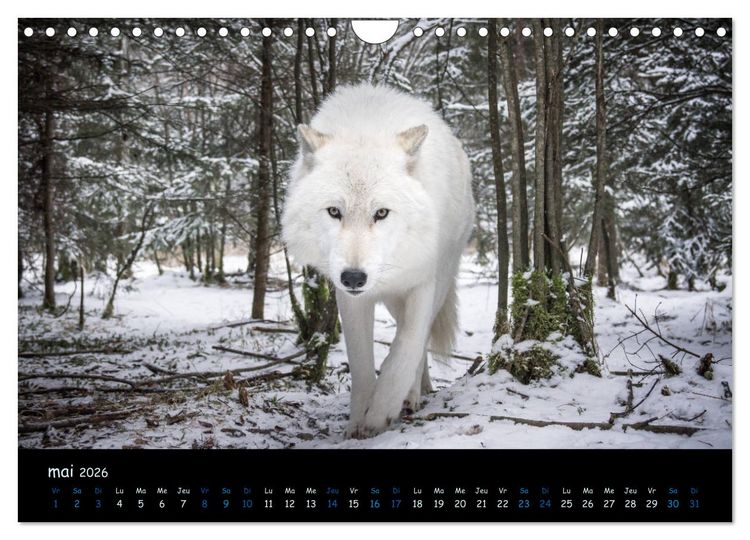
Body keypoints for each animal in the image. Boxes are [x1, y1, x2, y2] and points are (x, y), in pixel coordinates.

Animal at [282, 84, 475, 438]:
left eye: (381, 213)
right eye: (334, 211)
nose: (354, 278)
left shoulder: (423, 282)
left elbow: (405, 350)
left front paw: (382, 410)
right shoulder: (350, 299)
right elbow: (360, 364)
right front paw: (358, 421)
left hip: (440, 280)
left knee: (420, 339)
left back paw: (411, 395)